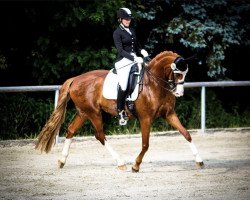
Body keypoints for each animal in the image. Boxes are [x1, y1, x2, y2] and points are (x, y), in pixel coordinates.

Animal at [34, 50, 203, 172]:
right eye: (177, 73)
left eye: (185, 73)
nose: (179, 93)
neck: (154, 83)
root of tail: (75, 79)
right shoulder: (145, 118)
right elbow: (145, 144)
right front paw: (136, 165)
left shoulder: (169, 114)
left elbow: (186, 134)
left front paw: (199, 160)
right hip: (94, 113)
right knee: (100, 135)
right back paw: (121, 162)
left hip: (84, 113)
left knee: (71, 130)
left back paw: (62, 161)